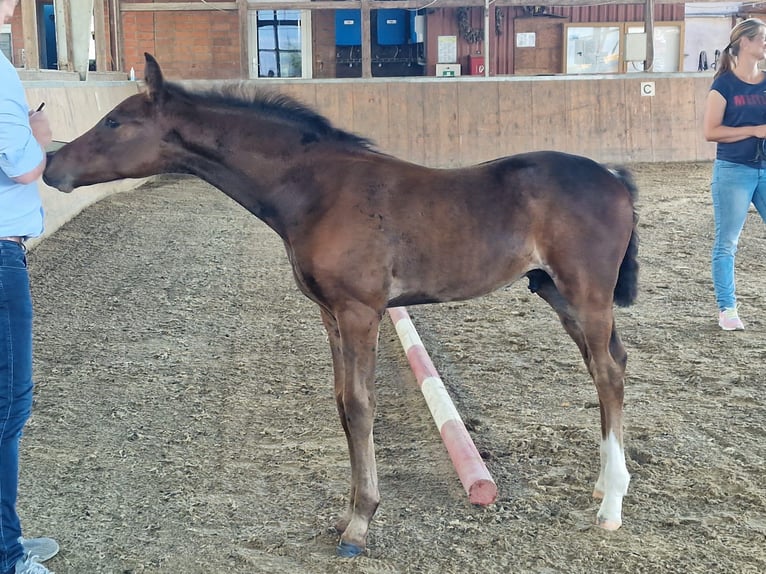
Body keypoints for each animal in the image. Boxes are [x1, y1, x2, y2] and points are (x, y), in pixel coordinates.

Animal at [43, 54, 640, 560]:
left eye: (115, 122)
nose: (51, 165)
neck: (318, 190)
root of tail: (613, 177)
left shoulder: (360, 312)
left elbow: (359, 405)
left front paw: (359, 523)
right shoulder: (330, 314)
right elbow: (340, 405)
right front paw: (347, 514)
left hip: (586, 294)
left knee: (608, 371)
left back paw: (612, 505)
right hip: (555, 291)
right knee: (605, 366)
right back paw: (603, 484)